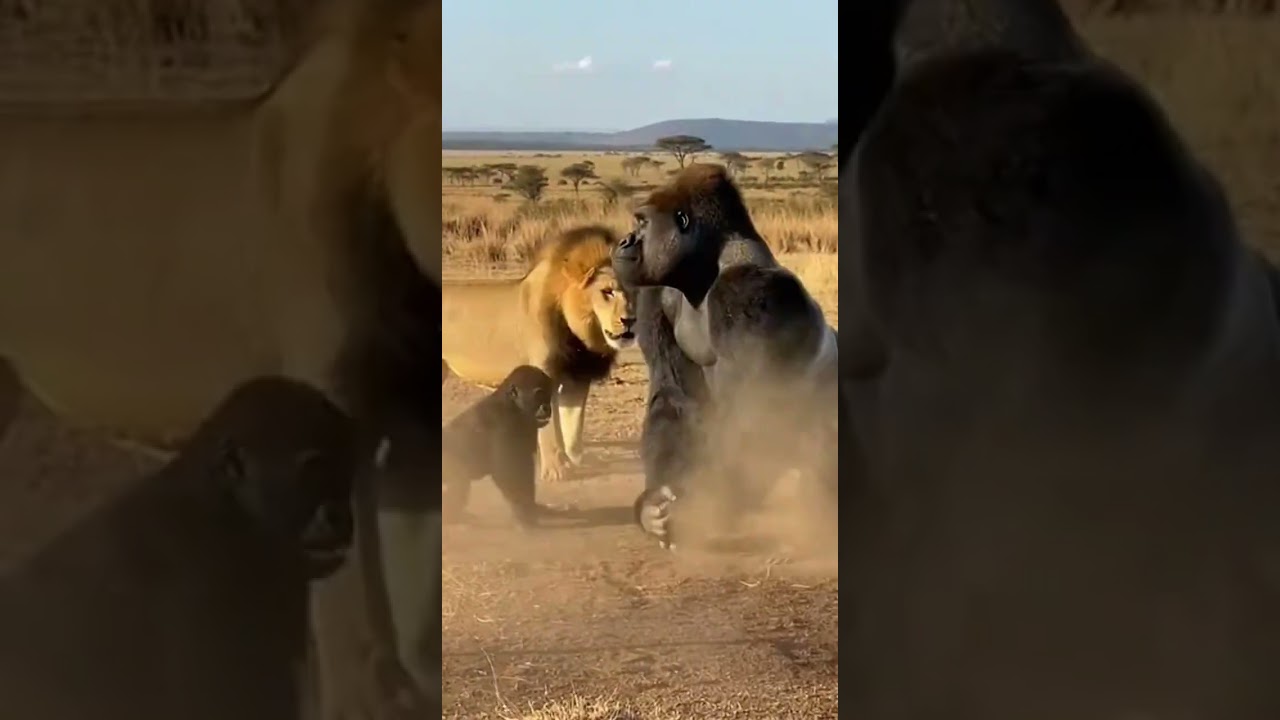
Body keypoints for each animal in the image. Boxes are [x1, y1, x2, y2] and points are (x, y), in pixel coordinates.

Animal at [442, 225, 637, 483]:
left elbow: (573, 427)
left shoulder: (577, 379)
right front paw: (554, 469)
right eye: (607, 292)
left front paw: (571, 460)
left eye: (632, 293)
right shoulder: (543, 375)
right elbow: (548, 429)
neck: (579, 334)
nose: (631, 320)